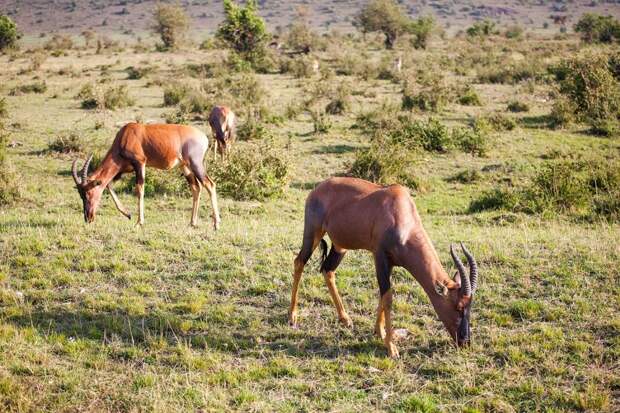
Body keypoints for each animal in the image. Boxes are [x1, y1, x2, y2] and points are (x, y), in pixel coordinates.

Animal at [71, 122, 222, 230]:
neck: (126, 135)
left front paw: (139, 223)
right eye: (81, 195)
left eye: (89, 193)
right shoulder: (124, 169)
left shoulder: (140, 163)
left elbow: (140, 190)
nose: (88, 218)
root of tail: (203, 137)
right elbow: (109, 185)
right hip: (185, 167)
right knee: (196, 188)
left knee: (210, 184)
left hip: (196, 164)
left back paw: (216, 224)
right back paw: (192, 222)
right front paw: (128, 214)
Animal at [288, 177, 482, 358]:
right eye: (458, 307)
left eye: (470, 307)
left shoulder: (390, 264)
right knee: (299, 262)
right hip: (312, 233)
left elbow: (383, 296)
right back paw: (292, 316)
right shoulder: (380, 257)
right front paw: (391, 347)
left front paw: (379, 332)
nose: (465, 342)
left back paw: (345, 319)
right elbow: (387, 298)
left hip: (340, 246)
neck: (401, 212)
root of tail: (319, 188)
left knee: (327, 270)